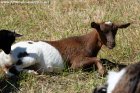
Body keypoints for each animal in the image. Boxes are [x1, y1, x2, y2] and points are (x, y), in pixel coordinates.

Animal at [0, 21, 130, 76]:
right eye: (101, 30)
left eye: (116, 30)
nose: (112, 44)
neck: (85, 43)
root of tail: (3, 55)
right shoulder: (76, 63)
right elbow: (97, 60)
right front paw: (102, 72)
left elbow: (103, 59)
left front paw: (122, 66)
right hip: (30, 57)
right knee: (12, 69)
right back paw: (33, 73)